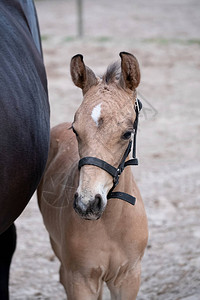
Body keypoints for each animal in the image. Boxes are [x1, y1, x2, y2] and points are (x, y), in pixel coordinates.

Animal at [37, 52, 148, 300]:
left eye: (127, 133)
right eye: (76, 130)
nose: (87, 204)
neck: (111, 224)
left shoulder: (129, 277)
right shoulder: (81, 279)